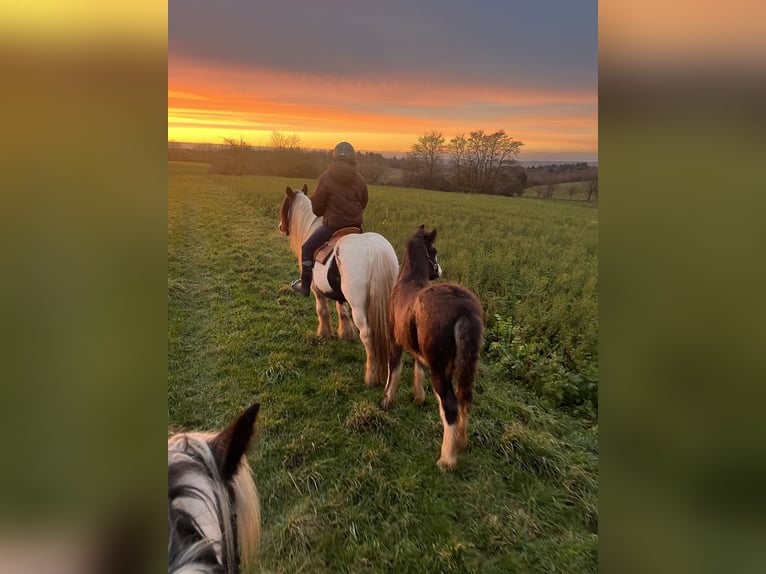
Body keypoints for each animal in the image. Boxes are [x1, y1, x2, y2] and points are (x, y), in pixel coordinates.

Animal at [282, 186, 402, 388]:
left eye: (285, 205)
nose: (281, 227)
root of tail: (375, 251)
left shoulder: (316, 290)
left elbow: (322, 310)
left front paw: (324, 333)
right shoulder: (338, 292)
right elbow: (341, 309)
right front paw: (345, 333)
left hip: (360, 307)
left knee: (367, 334)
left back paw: (371, 376)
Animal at [384, 225, 486, 472]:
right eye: (435, 251)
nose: (439, 270)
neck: (408, 281)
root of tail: (464, 309)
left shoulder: (394, 340)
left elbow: (395, 369)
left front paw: (387, 399)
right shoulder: (420, 352)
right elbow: (418, 369)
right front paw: (419, 397)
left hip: (440, 369)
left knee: (450, 406)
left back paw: (447, 459)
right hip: (466, 365)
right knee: (465, 398)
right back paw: (461, 441)